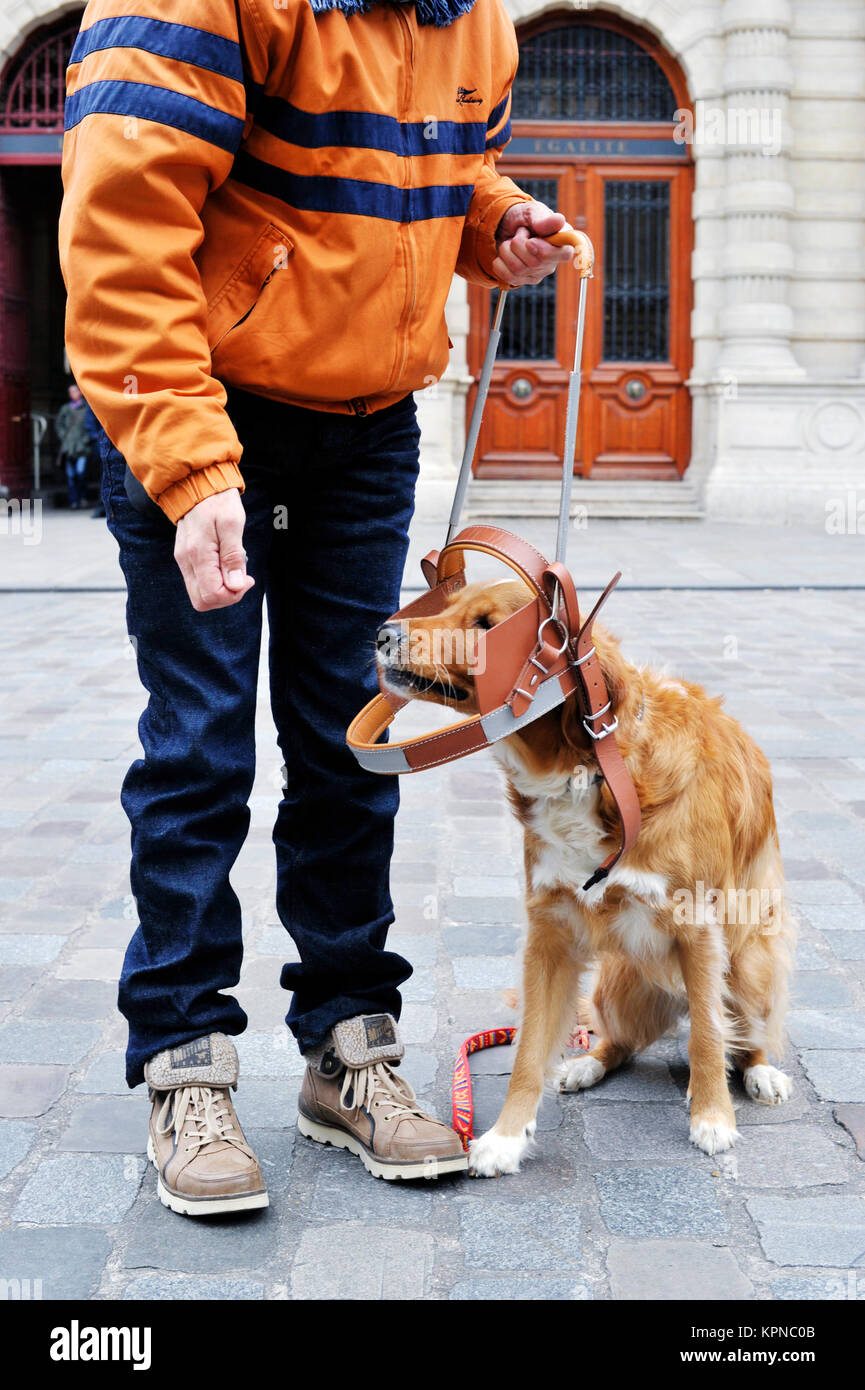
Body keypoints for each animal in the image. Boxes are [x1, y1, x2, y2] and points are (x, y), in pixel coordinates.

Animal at [375, 575, 795, 1173]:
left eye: (485, 625)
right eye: (446, 604)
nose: (383, 633)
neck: (591, 770)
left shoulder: (699, 931)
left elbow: (709, 1036)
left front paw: (713, 1118)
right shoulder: (550, 933)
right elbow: (529, 1049)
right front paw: (506, 1137)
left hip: (749, 962)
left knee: (738, 1029)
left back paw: (759, 1071)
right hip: (618, 985)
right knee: (617, 1039)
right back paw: (586, 1063)